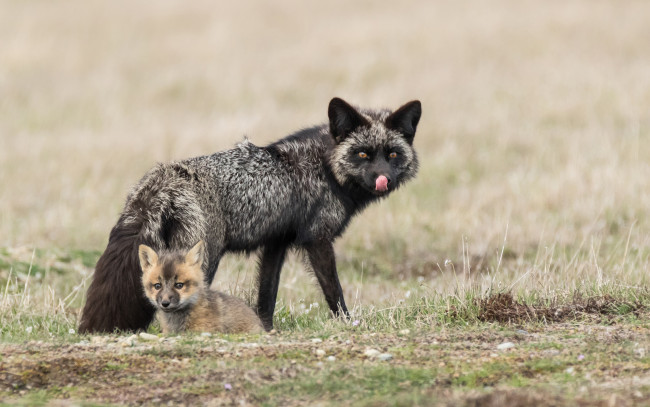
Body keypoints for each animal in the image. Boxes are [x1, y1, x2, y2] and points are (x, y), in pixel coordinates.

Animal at [78, 97, 421, 333]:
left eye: (392, 154)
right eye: (362, 154)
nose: (383, 179)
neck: (325, 166)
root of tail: (163, 180)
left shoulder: (276, 244)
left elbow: (266, 295)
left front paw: (263, 329)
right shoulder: (317, 239)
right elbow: (333, 292)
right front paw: (347, 324)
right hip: (205, 257)